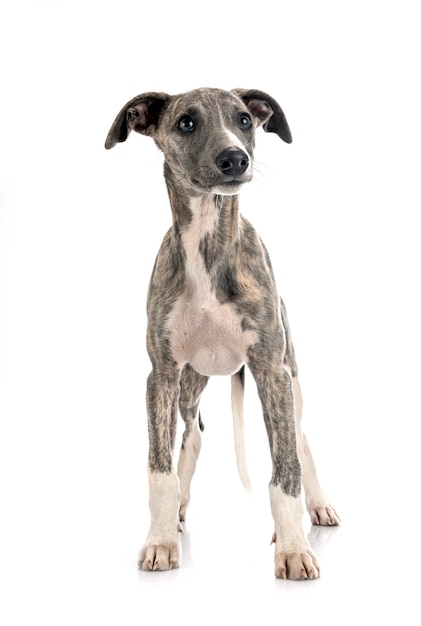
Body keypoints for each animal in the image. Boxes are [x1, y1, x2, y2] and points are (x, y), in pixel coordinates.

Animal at [105, 85, 338, 576]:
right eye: (186, 123)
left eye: (244, 119)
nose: (235, 159)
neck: (208, 246)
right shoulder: (161, 375)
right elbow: (160, 469)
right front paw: (160, 541)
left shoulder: (271, 370)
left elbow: (285, 469)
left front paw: (293, 549)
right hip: (189, 385)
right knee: (192, 436)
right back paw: (178, 512)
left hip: (290, 378)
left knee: (301, 438)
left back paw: (319, 507)